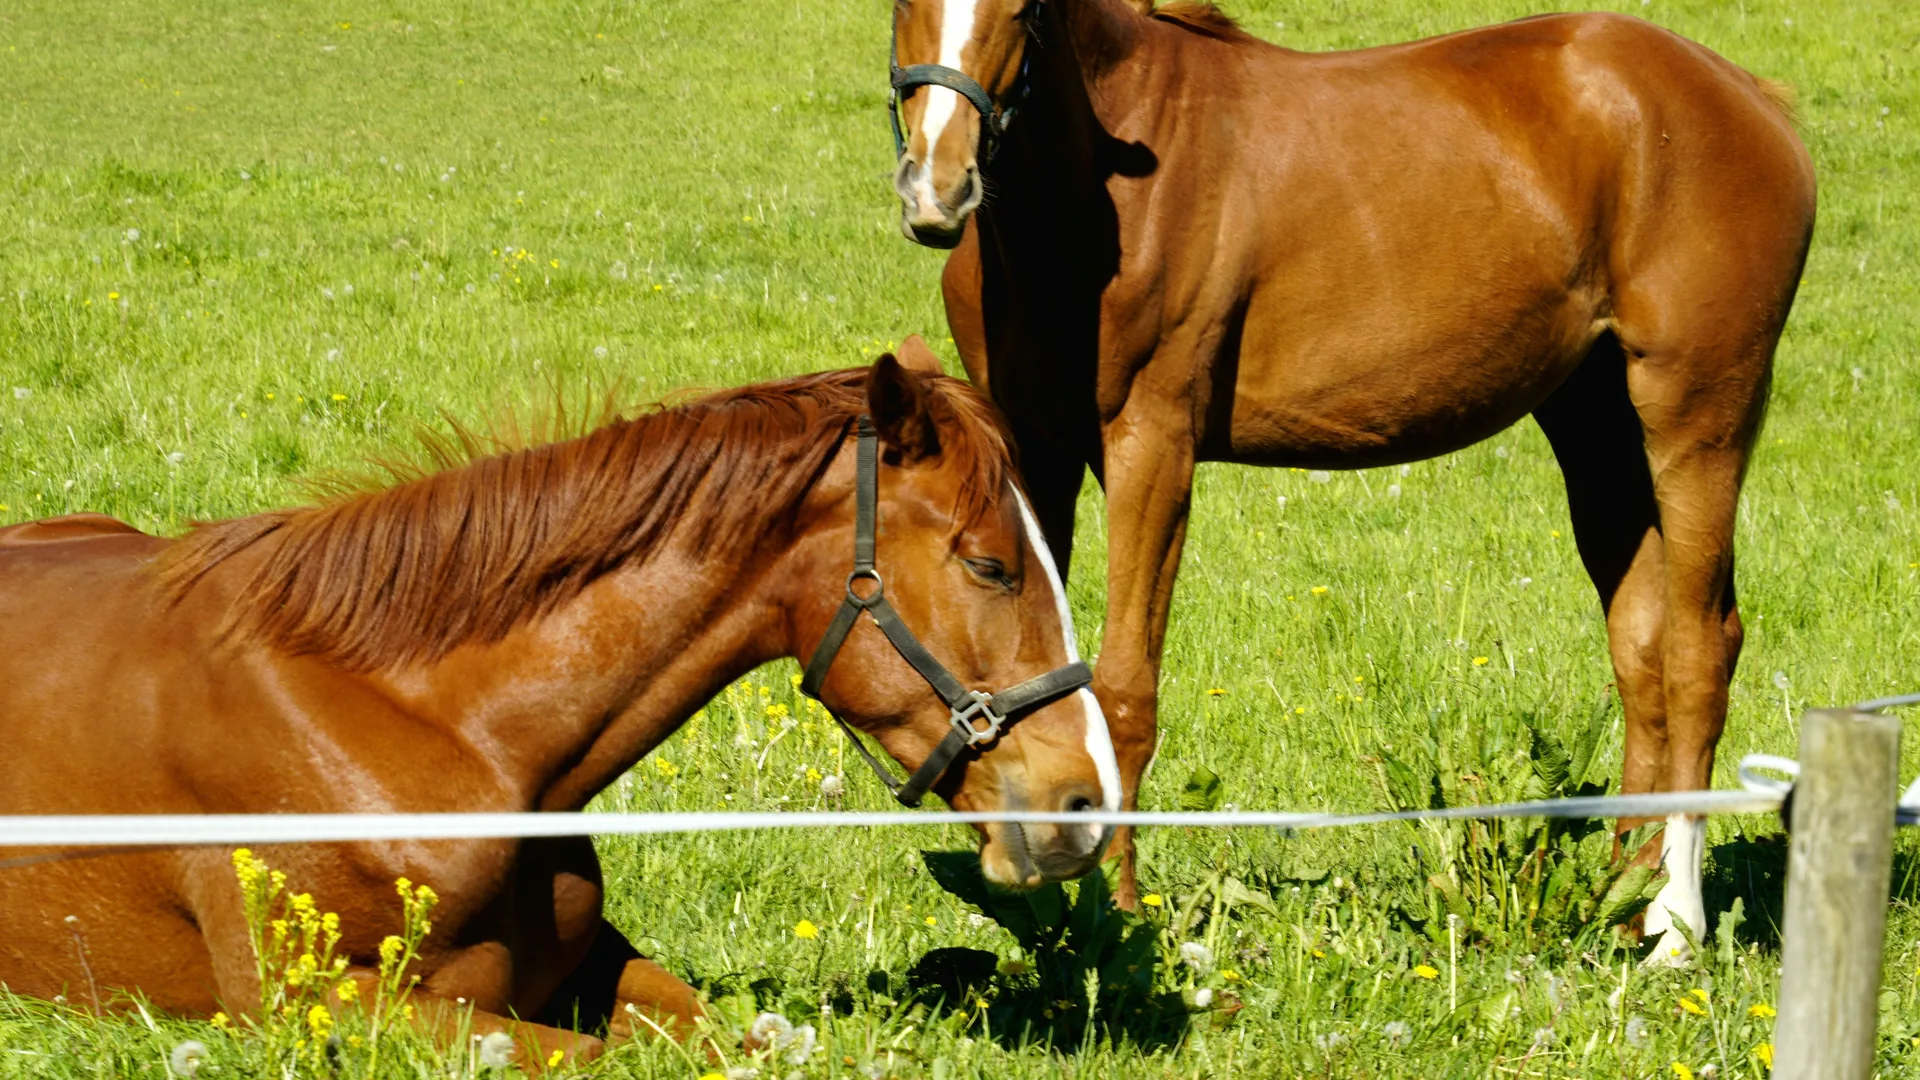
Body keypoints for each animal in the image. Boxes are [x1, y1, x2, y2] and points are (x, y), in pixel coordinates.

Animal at [0, 347, 1121, 1063]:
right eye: (989, 564)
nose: (1085, 806)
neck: (432, 727)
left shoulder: (593, 963)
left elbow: (736, 1036)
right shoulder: (327, 1005)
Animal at [884, 0, 1816, 961]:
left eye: (1023, 12)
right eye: (903, 7)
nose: (937, 189)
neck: (1094, 199)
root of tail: (1749, 96)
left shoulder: (1153, 446)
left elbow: (1125, 690)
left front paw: (1121, 918)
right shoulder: (1035, 451)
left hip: (1697, 417)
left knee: (1699, 650)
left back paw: (1675, 925)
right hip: (1597, 430)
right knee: (1641, 653)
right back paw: (1624, 897)